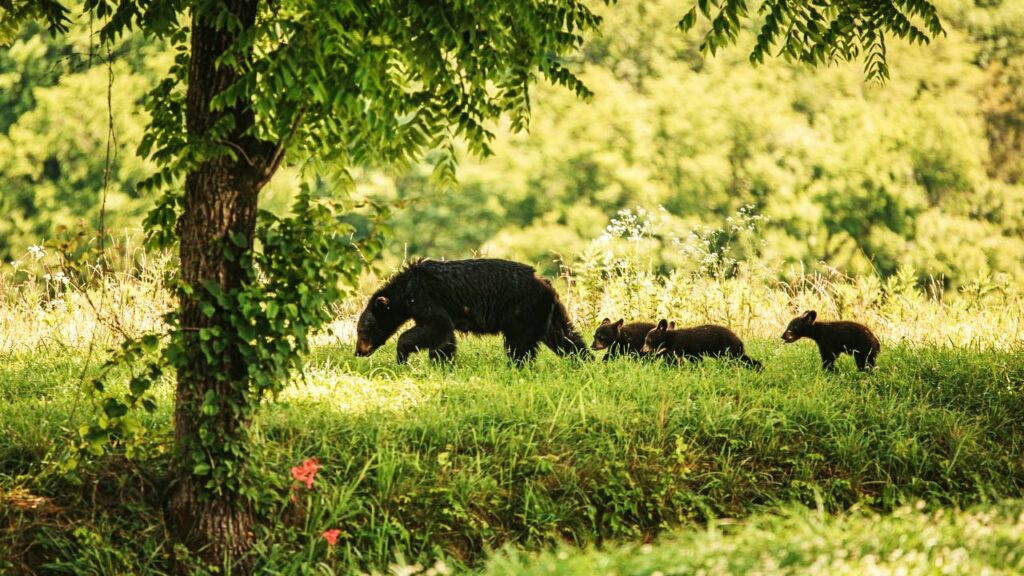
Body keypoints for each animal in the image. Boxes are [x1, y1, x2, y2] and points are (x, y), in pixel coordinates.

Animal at [356, 256, 589, 360]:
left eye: (362, 330)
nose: (358, 351)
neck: (406, 291)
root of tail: (545, 283)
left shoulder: (427, 299)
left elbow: (436, 326)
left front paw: (402, 355)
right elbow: (444, 338)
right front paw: (443, 362)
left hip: (523, 311)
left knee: (519, 345)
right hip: (547, 312)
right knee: (564, 336)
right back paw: (582, 360)